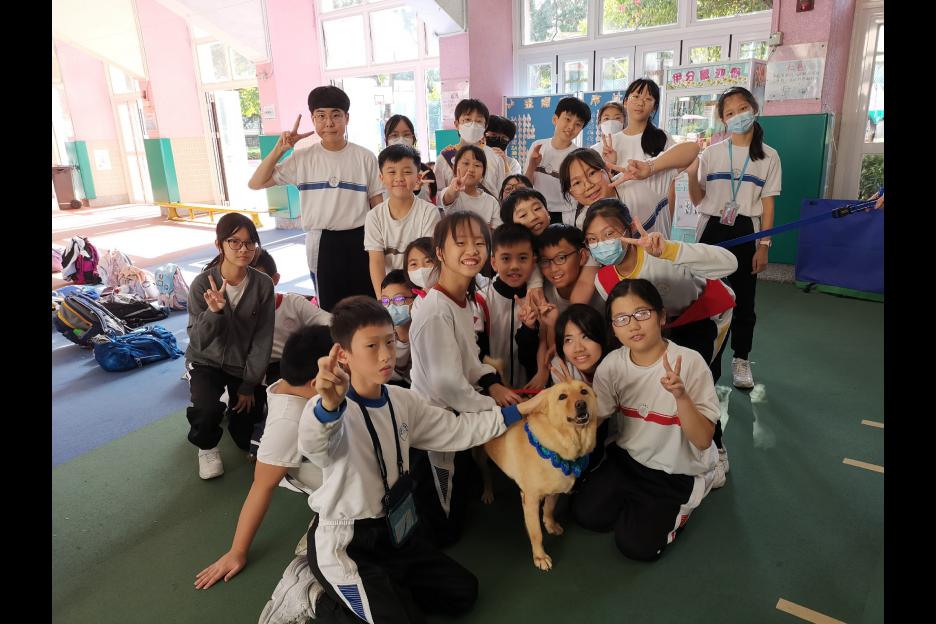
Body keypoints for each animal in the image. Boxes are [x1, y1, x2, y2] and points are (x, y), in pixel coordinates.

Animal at [483, 380, 599, 570]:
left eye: (584, 392)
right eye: (562, 396)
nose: (581, 404)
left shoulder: (556, 490)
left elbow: (549, 509)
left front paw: (550, 524)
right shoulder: (530, 500)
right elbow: (536, 532)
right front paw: (540, 556)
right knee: (485, 474)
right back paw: (487, 492)